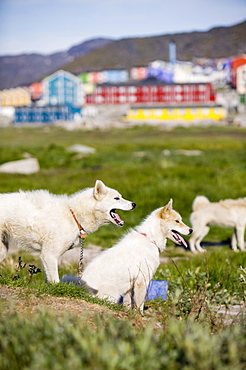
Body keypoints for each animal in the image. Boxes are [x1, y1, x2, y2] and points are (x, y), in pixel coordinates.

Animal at [0, 181, 135, 282]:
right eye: (116, 198)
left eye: (120, 196)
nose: (134, 204)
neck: (73, 214)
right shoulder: (49, 255)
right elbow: (55, 281)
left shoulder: (49, 257)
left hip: (3, 250)